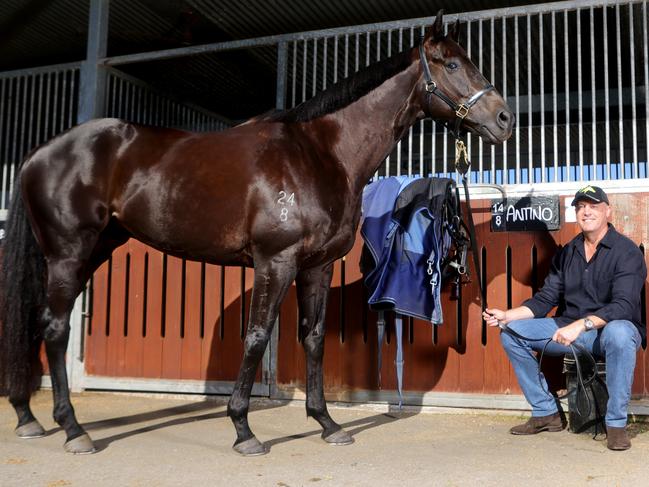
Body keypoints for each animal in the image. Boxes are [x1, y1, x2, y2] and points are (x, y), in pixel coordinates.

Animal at [0, 11, 512, 458]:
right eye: (452, 64)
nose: (504, 119)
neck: (320, 153)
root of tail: (40, 152)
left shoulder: (317, 267)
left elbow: (314, 337)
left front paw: (327, 424)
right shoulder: (275, 261)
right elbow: (257, 336)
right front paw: (244, 430)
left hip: (94, 249)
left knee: (40, 323)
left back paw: (30, 418)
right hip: (69, 252)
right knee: (56, 327)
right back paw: (73, 430)